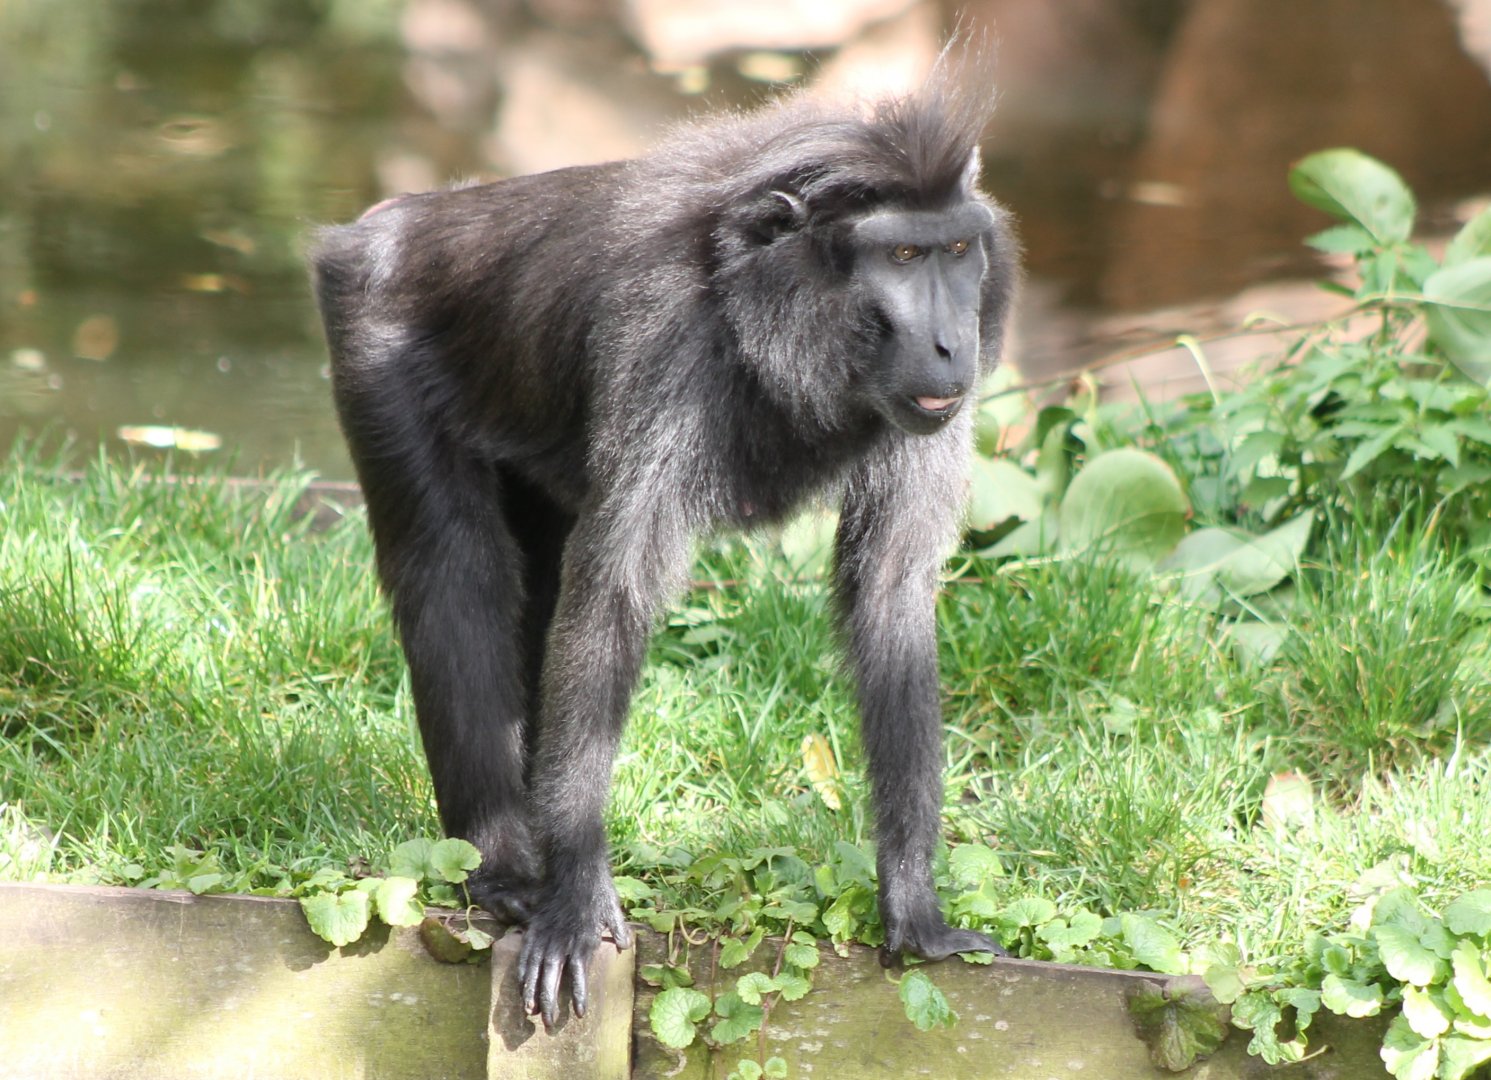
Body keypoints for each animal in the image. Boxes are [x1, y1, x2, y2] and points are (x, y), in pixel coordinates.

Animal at [310, 61, 1018, 1027]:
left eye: (956, 251)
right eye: (902, 258)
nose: (952, 345)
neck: (760, 309)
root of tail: (387, 223)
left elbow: (891, 588)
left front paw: (913, 904)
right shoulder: (666, 342)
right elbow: (612, 592)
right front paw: (577, 899)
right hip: (369, 330)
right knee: (453, 574)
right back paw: (504, 865)